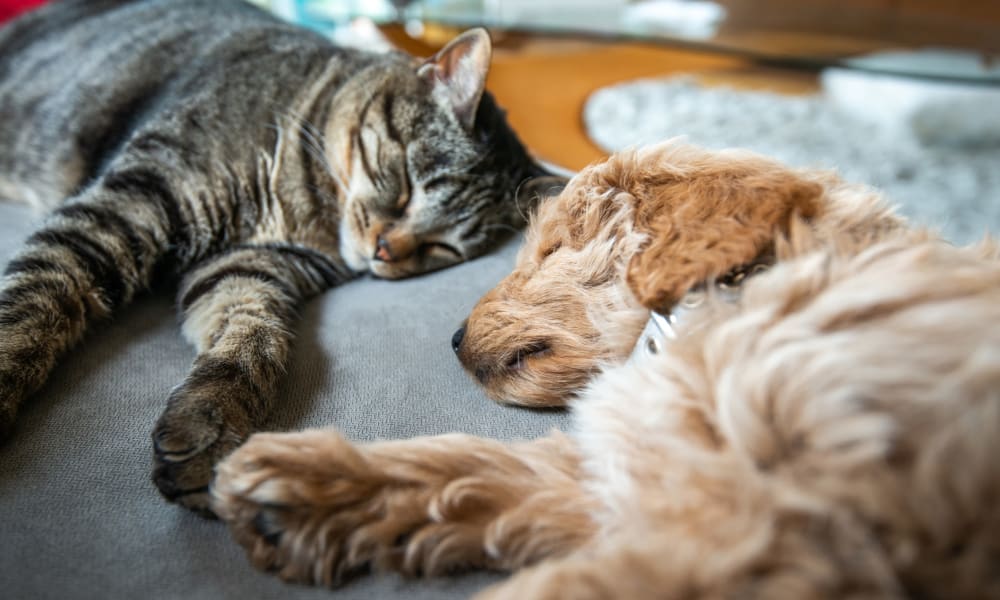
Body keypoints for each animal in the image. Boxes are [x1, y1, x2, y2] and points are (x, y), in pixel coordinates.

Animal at [0, 1, 552, 516]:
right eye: (407, 188)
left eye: (442, 247)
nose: (384, 251)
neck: (300, 208)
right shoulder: (131, 204)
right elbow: (35, 299)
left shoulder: (248, 266)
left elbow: (253, 339)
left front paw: (210, 424)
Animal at [211, 143, 1000, 596]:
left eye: (554, 247)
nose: (454, 339)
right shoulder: (644, 468)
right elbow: (484, 468)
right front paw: (311, 487)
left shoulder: (779, 530)